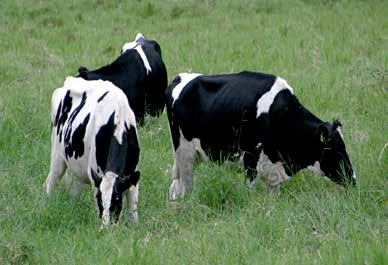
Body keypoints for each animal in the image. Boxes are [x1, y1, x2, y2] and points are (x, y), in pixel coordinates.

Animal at [44, 76, 141, 225]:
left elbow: (133, 207)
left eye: (117, 200)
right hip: (57, 157)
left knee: (74, 192)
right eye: (100, 200)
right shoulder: (95, 177)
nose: (106, 227)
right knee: (49, 183)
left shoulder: (132, 174)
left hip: (77, 168)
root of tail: (70, 80)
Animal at [165, 71, 356, 199]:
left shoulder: (273, 167)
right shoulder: (251, 156)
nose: (353, 179)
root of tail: (180, 77)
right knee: (186, 185)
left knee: (175, 185)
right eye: (336, 149)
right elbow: (250, 187)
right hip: (184, 152)